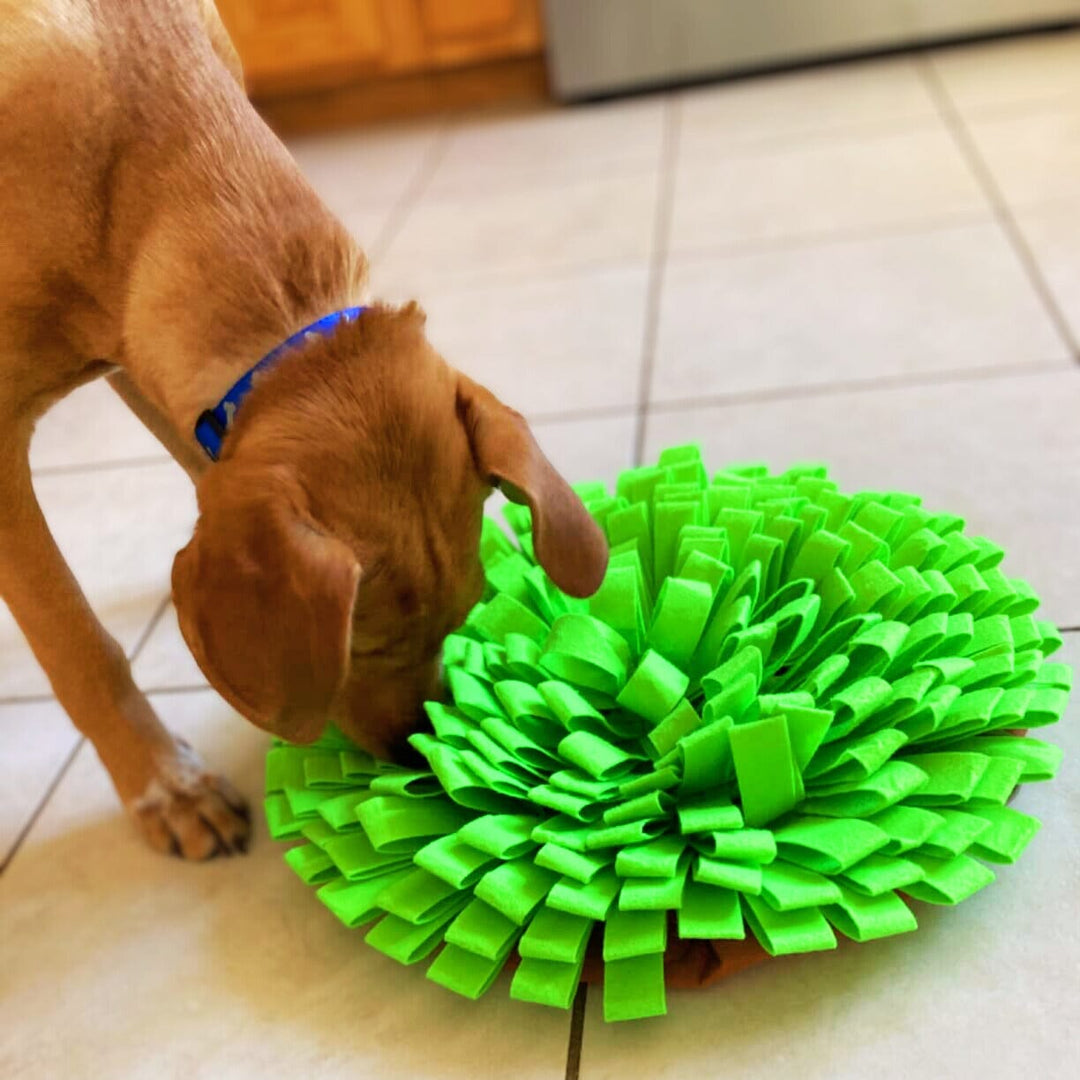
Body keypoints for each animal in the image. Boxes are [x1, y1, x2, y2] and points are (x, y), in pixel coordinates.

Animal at [0, 0, 609, 859]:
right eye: (357, 650)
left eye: (462, 618)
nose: (416, 756)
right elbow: (78, 644)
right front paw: (166, 784)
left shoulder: (140, 354)